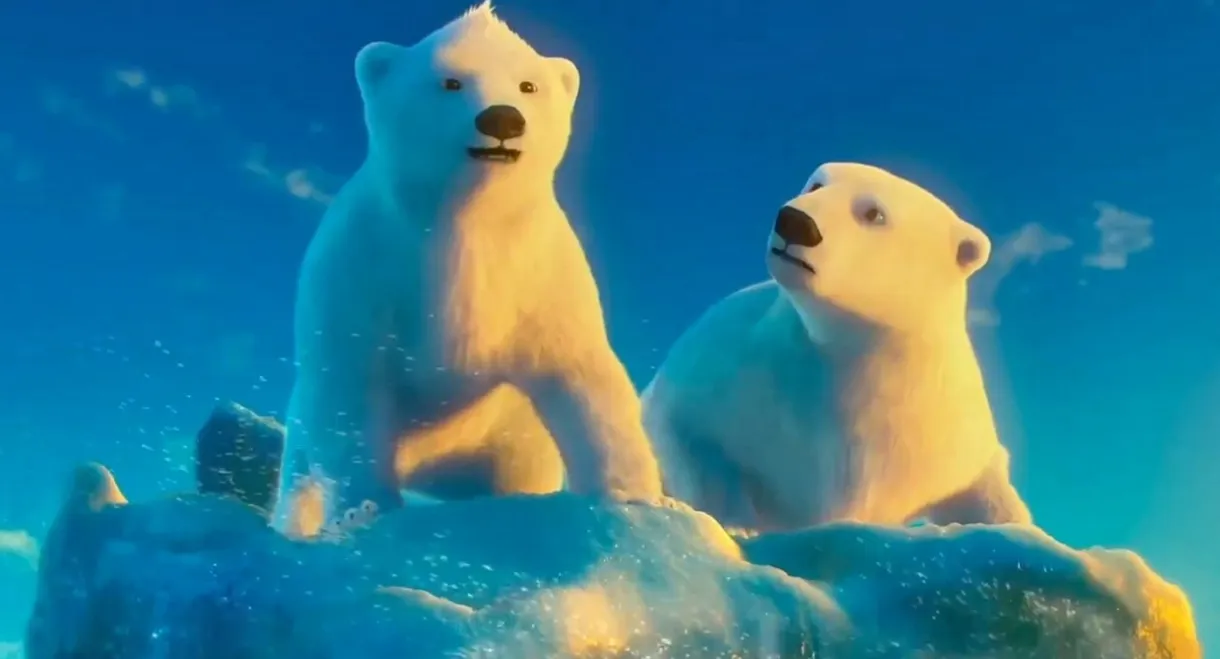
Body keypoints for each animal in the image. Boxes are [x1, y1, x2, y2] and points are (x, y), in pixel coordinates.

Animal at [273, 2, 663, 534]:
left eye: (528, 85)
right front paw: (364, 510)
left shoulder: (539, 279)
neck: (465, 226)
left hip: (511, 445)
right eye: (450, 81)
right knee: (299, 479)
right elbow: (349, 392)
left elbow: (584, 376)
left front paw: (635, 501)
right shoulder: (361, 271)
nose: (502, 118)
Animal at [640, 162, 1032, 533]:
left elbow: (983, 489)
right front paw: (735, 521)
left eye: (873, 213)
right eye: (817, 184)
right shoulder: (733, 368)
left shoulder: (938, 431)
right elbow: (685, 428)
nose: (795, 222)